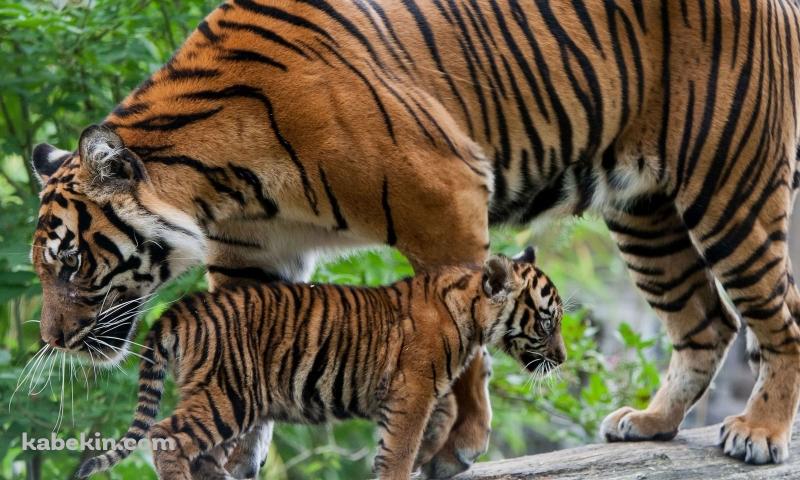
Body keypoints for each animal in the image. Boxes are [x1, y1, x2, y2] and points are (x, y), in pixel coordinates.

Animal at [74, 250, 564, 480]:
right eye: (547, 321)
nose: (560, 359)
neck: (470, 312)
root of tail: (181, 307)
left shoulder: (418, 388)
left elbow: (441, 418)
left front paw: (432, 456)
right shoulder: (412, 389)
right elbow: (402, 444)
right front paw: (404, 466)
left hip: (220, 396)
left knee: (202, 451)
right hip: (228, 393)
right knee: (166, 435)